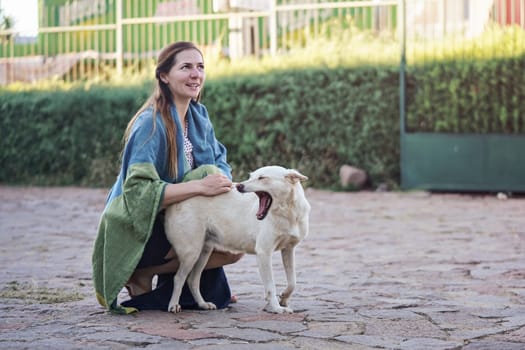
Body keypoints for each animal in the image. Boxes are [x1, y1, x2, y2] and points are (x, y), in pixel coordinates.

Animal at [164, 165, 310, 314]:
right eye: (251, 176)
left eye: (262, 178)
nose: (239, 186)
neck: (287, 213)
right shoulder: (264, 252)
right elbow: (270, 286)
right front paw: (276, 308)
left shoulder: (289, 249)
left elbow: (292, 282)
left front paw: (283, 299)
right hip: (191, 253)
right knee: (179, 278)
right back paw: (173, 305)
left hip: (204, 252)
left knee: (192, 280)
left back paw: (203, 304)